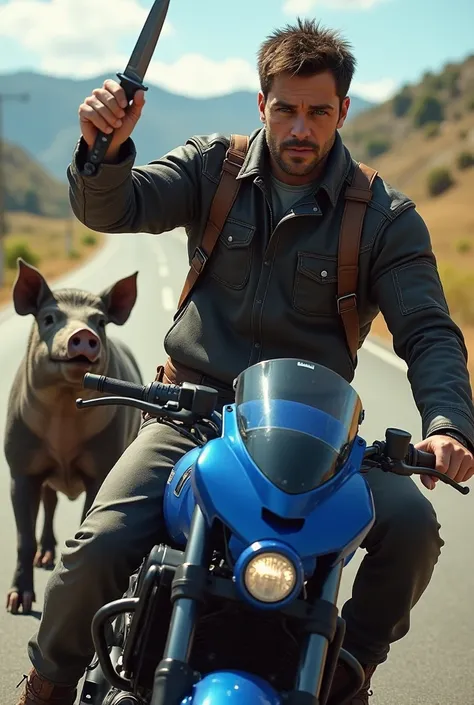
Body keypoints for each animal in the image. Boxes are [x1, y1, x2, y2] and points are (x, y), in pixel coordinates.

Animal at [3, 258, 143, 612]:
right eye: (49, 319)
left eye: (101, 321)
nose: (83, 333)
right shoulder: (19, 467)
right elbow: (22, 537)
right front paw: (17, 603)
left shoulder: (102, 466)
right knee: (50, 502)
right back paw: (43, 558)